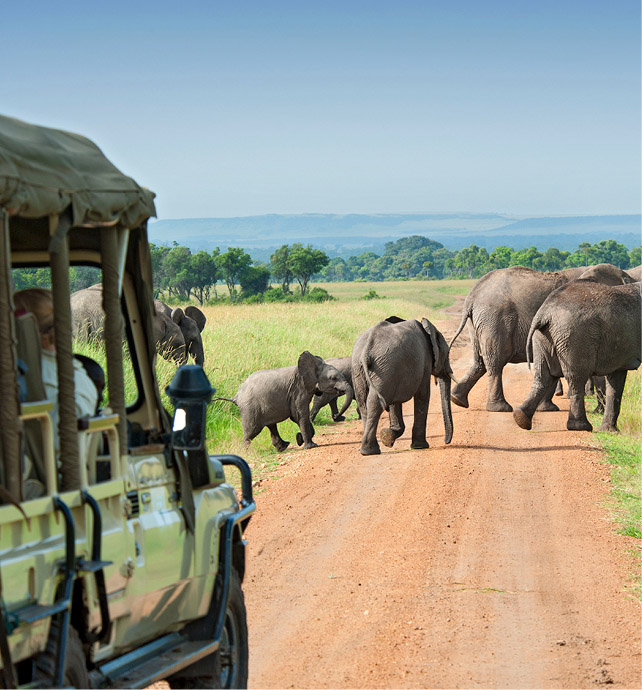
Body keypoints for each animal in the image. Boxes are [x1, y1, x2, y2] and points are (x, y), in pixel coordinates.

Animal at [217, 351, 354, 451]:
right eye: (334, 378)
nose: (336, 416)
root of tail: (236, 396)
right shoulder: (298, 391)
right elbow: (299, 415)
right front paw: (310, 446)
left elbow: (299, 417)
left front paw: (299, 439)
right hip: (250, 408)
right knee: (251, 432)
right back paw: (243, 453)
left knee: (271, 426)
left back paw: (283, 447)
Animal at [352, 316, 454, 456]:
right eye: (448, 352)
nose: (446, 441)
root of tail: (366, 350)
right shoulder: (424, 362)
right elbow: (423, 395)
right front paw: (419, 446)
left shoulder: (396, 372)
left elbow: (395, 402)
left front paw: (387, 437)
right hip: (383, 368)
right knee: (375, 403)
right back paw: (371, 451)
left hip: (363, 368)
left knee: (364, 403)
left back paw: (368, 450)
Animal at [449, 265, 592, 412]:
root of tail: (472, 296)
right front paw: (549, 408)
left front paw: (546, 408)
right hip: (495, 320)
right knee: (495, 361)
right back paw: (500, 408)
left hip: (478, 323)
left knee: (480, 361)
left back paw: (457, 399)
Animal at [513, 281, 641, 432]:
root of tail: (544, 313)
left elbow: (616, 378)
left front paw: (609, 431)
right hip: (576, 336)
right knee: (576, 379)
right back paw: (581, 427)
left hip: (543, 337)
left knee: (543, 377)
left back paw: (520, 418)